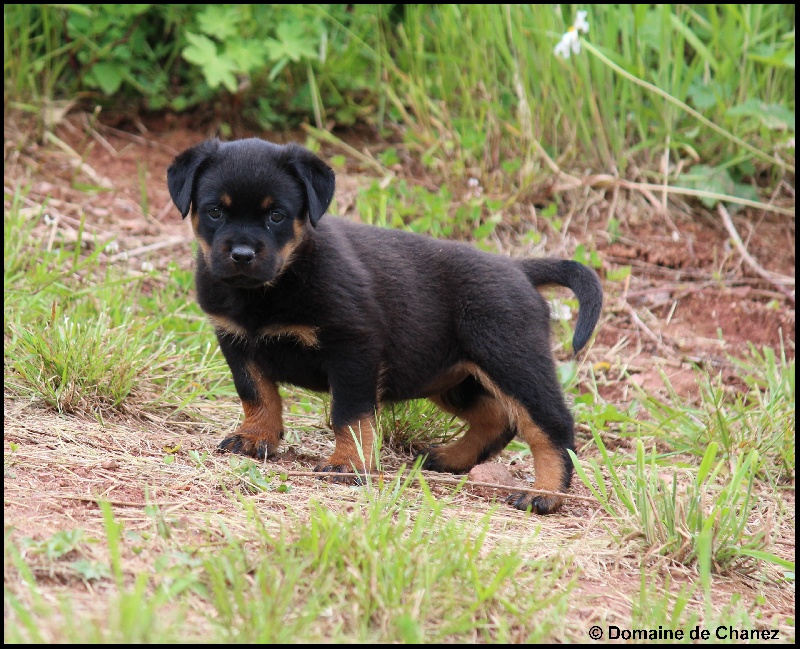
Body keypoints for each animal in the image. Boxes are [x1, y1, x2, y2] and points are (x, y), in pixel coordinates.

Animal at [167, 137, 602, 514]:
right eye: (215, 211)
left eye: (276, 215)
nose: (242, 254)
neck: (270, 287)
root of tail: (519, 269)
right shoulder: (235, 341)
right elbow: (256, 393)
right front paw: (255, 436)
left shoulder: (354, 347)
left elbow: (349, 413)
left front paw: (348, 463)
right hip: (450, 376)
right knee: (496, 418)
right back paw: (449, 458)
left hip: (511, 358)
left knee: (551, 426)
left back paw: (544, 494)